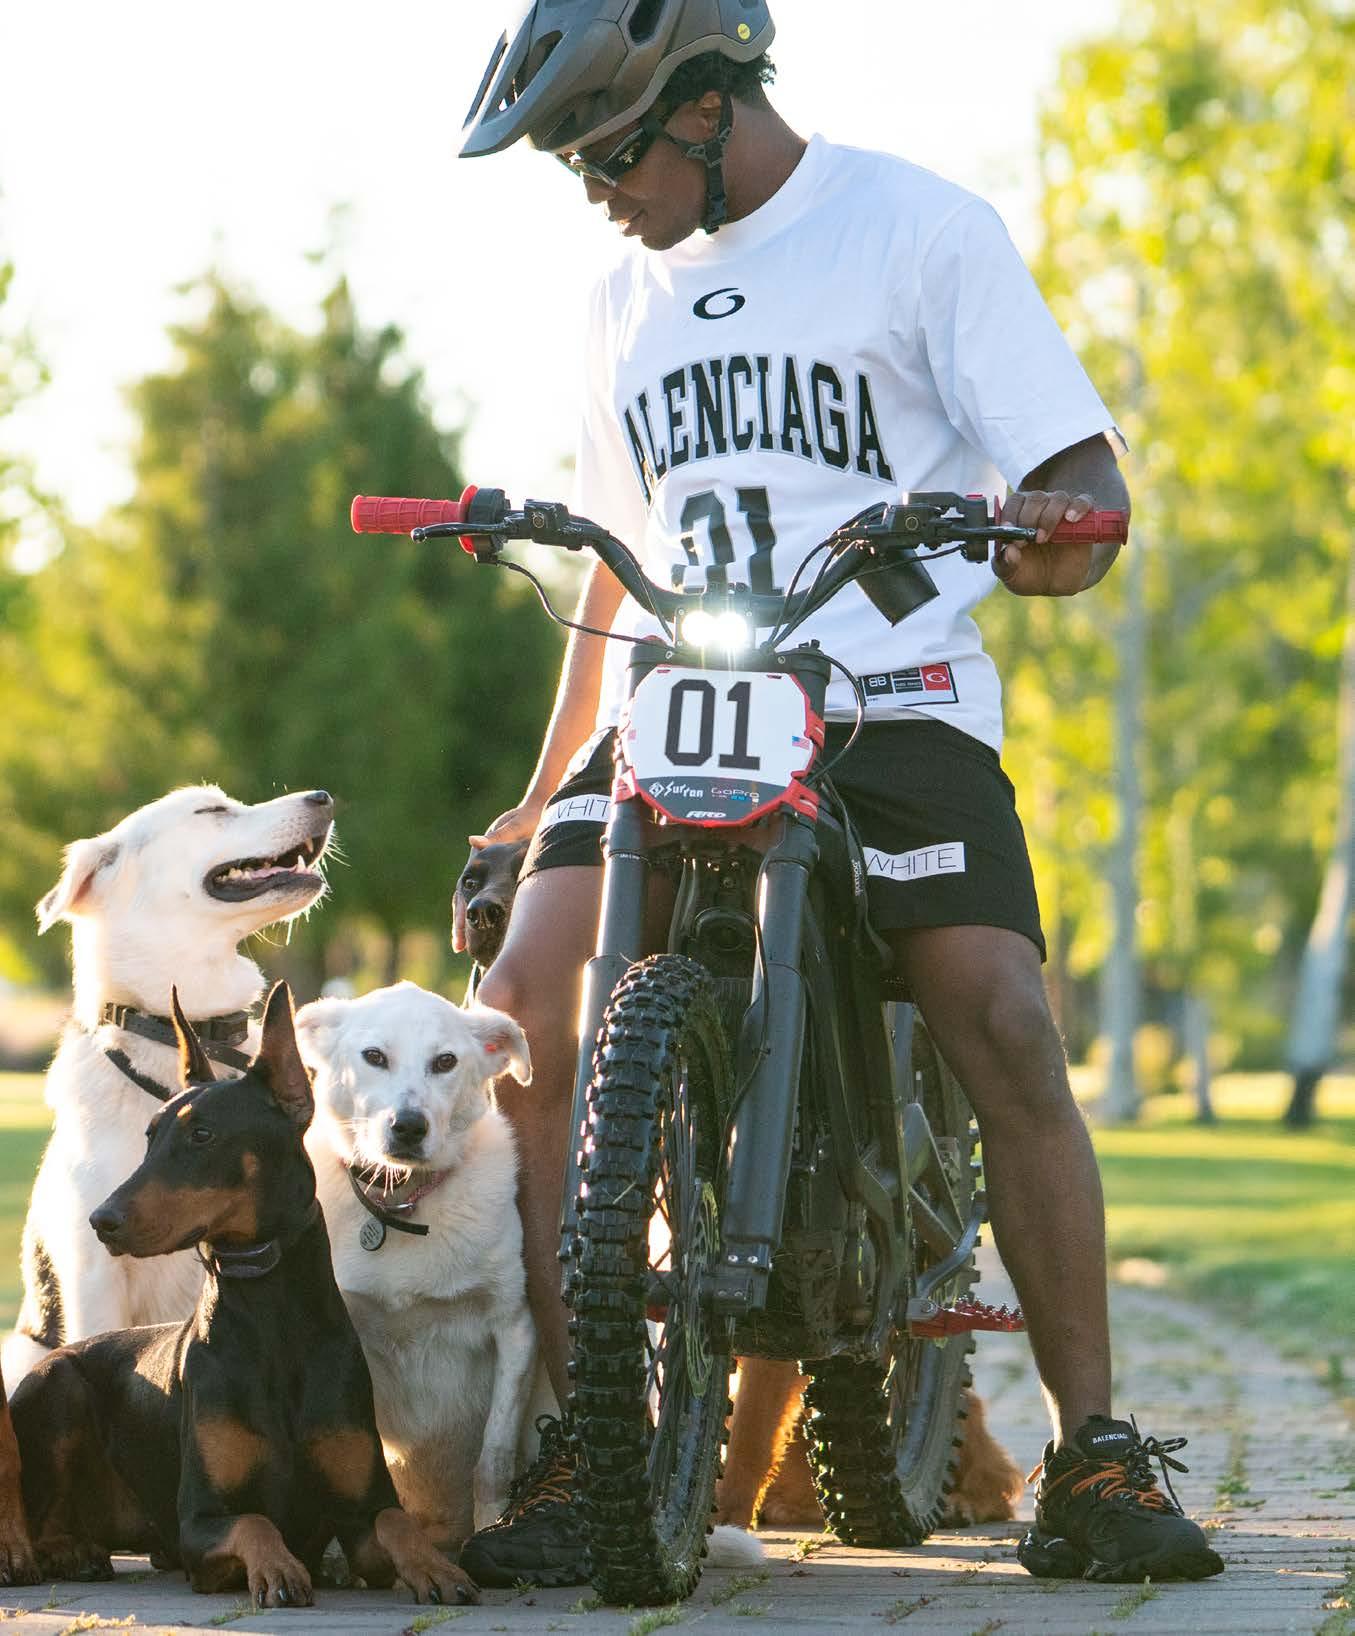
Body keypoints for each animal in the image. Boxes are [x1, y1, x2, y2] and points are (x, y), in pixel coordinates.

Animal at [9, 984, 475, 1609]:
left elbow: (394, 1522)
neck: (268, 1311)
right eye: (150, 1136)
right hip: (56, 1385)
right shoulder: (200, 1522)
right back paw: (68, 1551)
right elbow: (255, 1523)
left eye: (202, 1135)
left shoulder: (359, 1507)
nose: (101, 1220)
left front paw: (437, 1567)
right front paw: (278, 1570)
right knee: (40, 1518)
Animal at [296, 981, 537, 1553]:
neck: (400, 1203)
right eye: (374, 1056)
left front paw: (491, 1531)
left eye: (445, 1061)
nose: (408, 1126)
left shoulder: (515, 1329)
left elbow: (493, 1461)